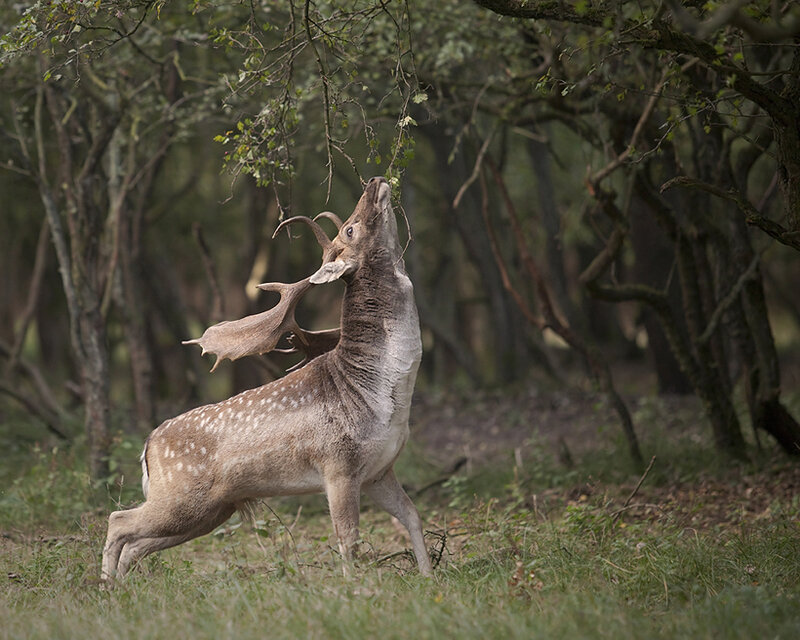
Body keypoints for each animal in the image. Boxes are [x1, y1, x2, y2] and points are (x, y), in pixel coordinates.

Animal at [101, 176, 433, 580]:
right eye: (350, 229)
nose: (374, 181)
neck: (382, 396)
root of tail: (148, 446)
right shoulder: (337, 466)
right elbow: (348, 540)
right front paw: (354, 587)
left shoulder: (378, 470)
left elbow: (414, 517)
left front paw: (431, 578)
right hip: (180, 497)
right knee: (118, 521)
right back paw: (104, 586)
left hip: (210, 510)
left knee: (136, 544)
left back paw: (121, 586)